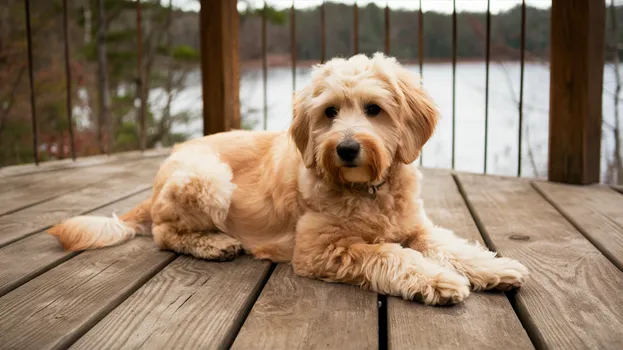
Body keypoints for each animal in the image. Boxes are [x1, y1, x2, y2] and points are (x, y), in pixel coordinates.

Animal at [48, 53, 528, 304]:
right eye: (330, 111)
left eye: (373, 109)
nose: (346, 149)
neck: (368, 190)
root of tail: (165, 166)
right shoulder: (320, 250)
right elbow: (390, 256)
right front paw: (439, 281)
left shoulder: (416, 229)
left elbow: (453, 246)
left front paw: (495, 268)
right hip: (210, 179)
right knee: (166, 233)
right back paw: (215, 244)